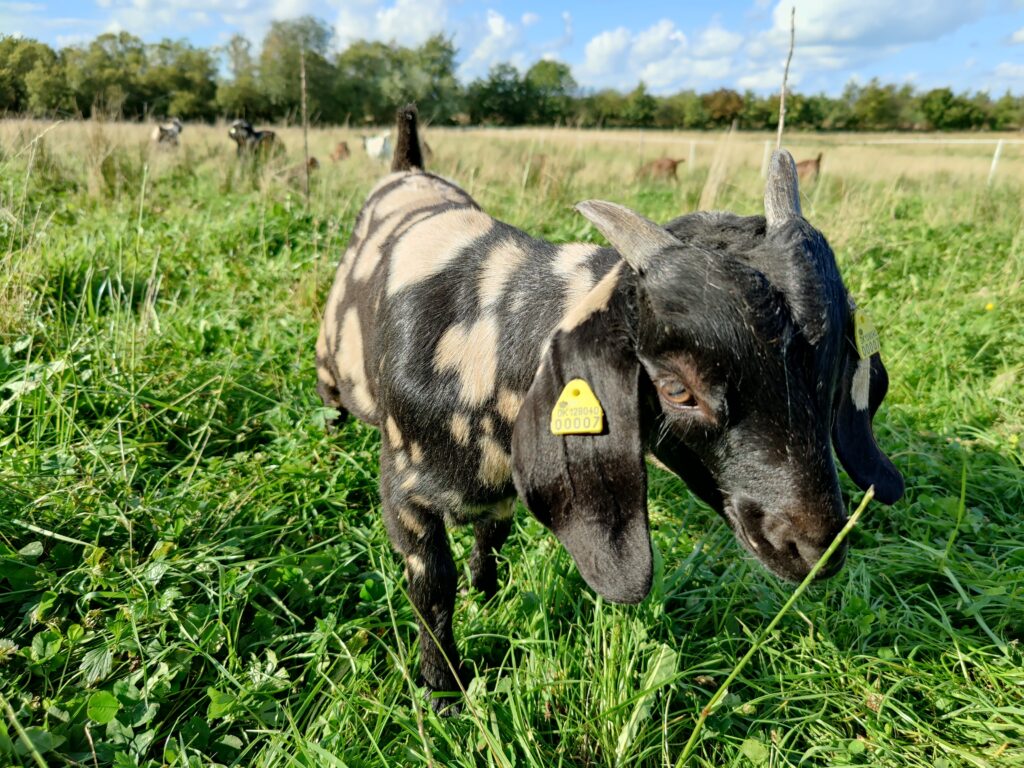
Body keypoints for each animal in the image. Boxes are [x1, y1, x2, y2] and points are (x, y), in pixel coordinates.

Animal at [313, 105, 905, 712]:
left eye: (837, 368)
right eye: (676, 389)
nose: (816, 548)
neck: (486, 347)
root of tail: (407, 168)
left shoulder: (502, 493)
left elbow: (491, 540)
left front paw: (489, 594)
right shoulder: (404, 498)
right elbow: (432, 589)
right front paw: (443, 689)